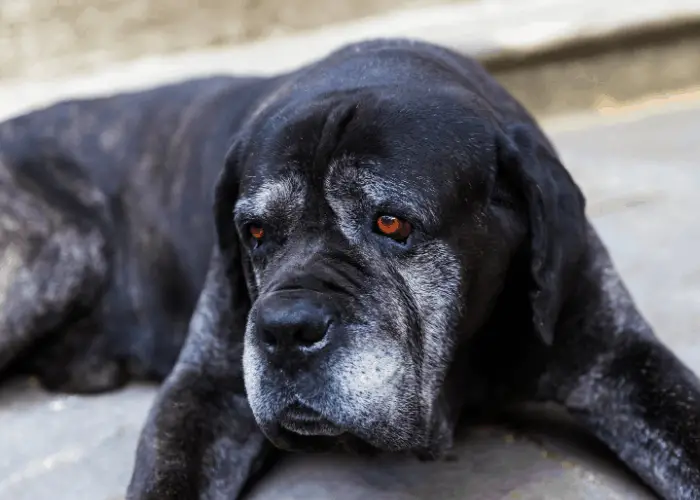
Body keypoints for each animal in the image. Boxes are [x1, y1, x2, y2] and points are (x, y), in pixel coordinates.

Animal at [0, 40, 696, 500]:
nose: (284, 330)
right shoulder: (210, 386)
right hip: (61, 249)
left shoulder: (620, 356)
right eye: (254, 232)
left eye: (391, 223)